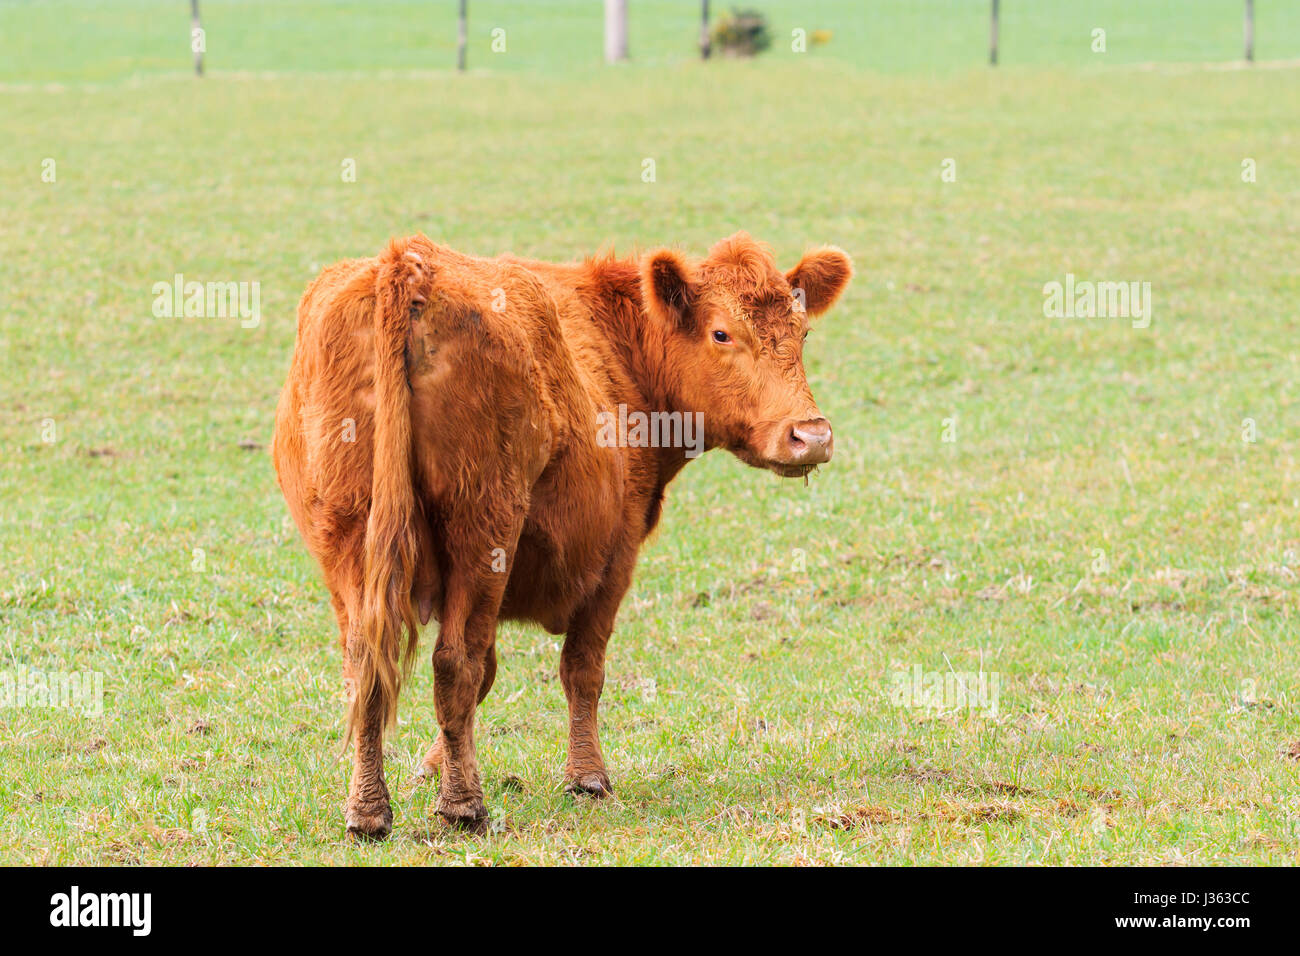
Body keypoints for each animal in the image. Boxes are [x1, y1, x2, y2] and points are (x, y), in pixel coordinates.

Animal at [272, 232, 852, 838]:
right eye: (722, 333)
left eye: (803, 332)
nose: (811, 436)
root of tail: (407, 263)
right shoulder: (615, 557)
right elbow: (580, 670)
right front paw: (586, 777)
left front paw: (429, 766)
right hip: (484, 529)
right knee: (454, 664)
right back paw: (463, 804)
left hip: (348, 537)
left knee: (367, 667)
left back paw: (368, 811)